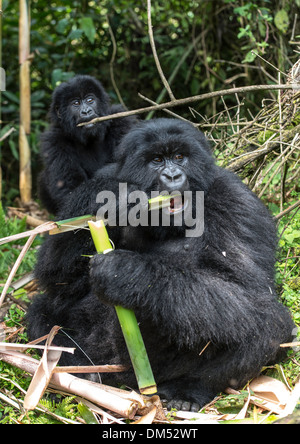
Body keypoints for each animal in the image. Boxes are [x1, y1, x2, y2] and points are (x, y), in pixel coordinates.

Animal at [26, 119, 296, 412]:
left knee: (270, 325)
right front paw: (116, 202)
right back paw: (76, 375)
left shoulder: (236, 200)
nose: (173, 176)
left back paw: (189, 390)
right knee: (43, 311)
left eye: (179, 157)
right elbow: (56, 277)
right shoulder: (99, 184)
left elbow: (248, 290)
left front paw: (125, 274)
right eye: (156, 160)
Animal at [38, 75, 137, 214]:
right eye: (76, 103)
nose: (86, 111)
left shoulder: (121, 120)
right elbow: (70, 194)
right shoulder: (54, 141)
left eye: (90, 100)